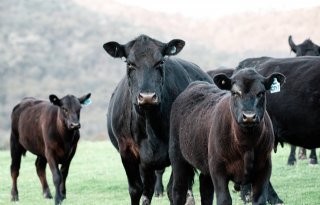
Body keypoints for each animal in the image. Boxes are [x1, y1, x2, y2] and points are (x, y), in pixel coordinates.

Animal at [104, 34, 214, 204]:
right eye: (130, 64)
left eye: (160, 62)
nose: (147, 97)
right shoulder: (127, 151)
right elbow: (136, 189)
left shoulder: (177, 152)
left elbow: (174, 190)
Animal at [170, 67, 284, 205]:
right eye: (235, 93)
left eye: (261, 93)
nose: (249, 116)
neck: (247, 145)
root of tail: (195, 85)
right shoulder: (217, 168)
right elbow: (224, 199)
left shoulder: (264, 167)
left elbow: (259, 199)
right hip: (177, 157)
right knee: (178, 190)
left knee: (206, 190)